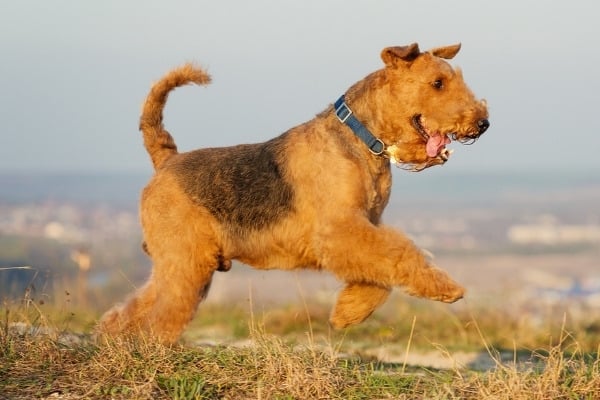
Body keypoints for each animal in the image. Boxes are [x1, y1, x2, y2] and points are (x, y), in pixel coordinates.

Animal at [98, 43, 490, 344]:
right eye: (437, 82)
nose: (482, 123)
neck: (361, 139)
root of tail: (166, 161)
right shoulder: (339, 231)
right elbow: (402, 254)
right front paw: (447, 288)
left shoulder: (363, 228)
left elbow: (382, 275)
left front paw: (346, 314)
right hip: (186, 263)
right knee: (160, 315)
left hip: (181, 263)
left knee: (133, 307)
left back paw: (112, 340)